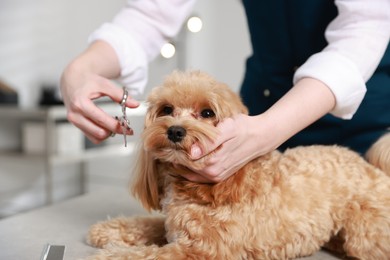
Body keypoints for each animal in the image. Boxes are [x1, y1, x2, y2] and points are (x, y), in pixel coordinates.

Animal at [87, 70, 390, 258]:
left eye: (207, 113)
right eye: (167, 109)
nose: (175, 131)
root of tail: (374, 169)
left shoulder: (200, 250)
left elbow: (147, 255)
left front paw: (112, 254)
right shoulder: (173, 228)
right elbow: (148, 224)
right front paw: (109, 231)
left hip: (365, 234)